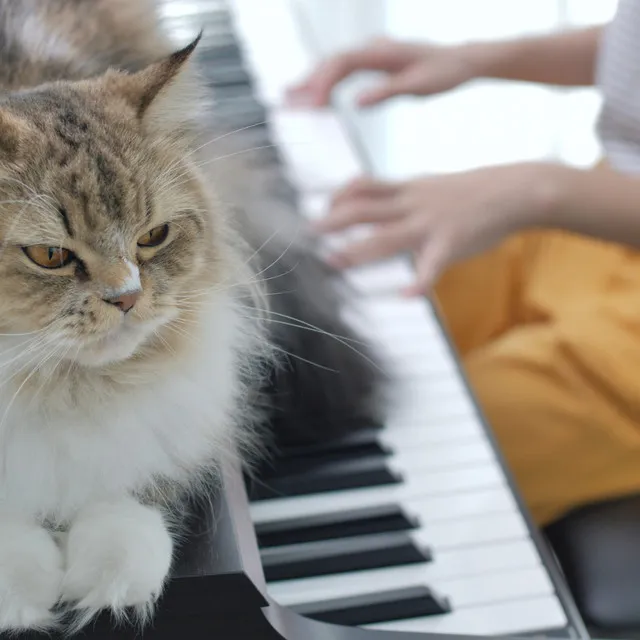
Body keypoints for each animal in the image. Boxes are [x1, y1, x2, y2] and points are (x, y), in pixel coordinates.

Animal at [0, 0, 384, 632]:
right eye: (50, 255)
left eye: (152, 237)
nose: (128, 298)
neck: (56, 390)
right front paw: (23, 592)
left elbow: (133, 483)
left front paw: (110, 580)